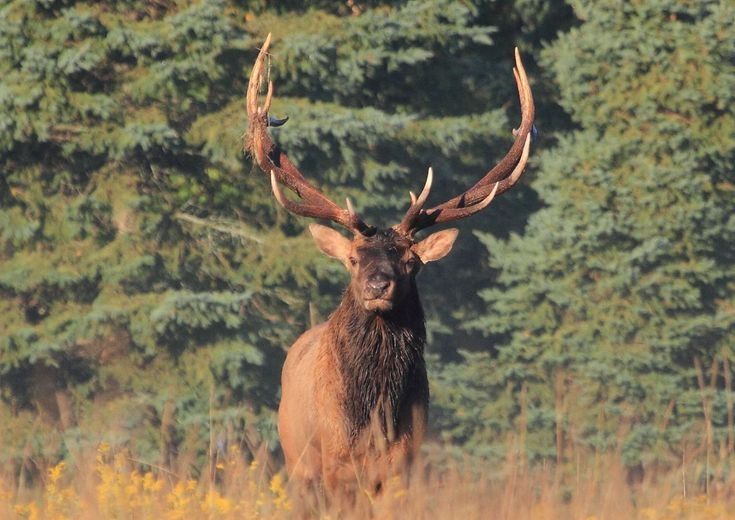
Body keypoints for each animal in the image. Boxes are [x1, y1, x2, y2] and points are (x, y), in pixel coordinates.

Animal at [246, 34, 536, 494]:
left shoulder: (402, 468)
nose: (377, 286)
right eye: (352, 259)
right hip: (298, 464)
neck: (372, 419)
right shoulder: (335, 468)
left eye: (411, 261)